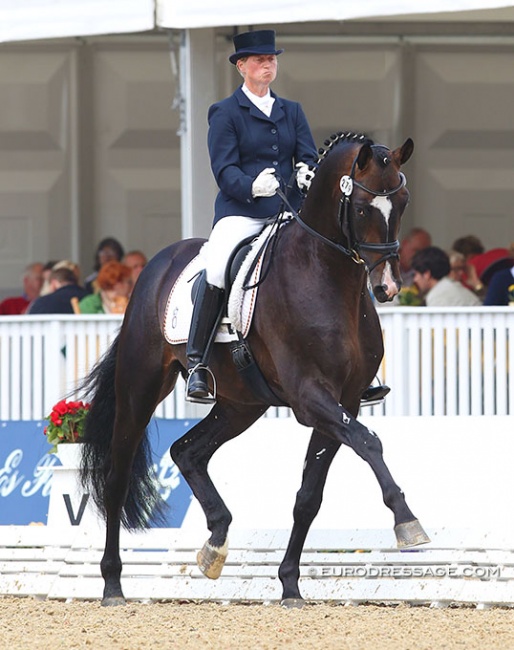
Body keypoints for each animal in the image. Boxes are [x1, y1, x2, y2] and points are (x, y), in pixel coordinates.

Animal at [79, 132, 428, 608]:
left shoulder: (346, 399)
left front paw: (290, 584)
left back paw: (215, 543)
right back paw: (113, 585)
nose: (388, 287)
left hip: (240, 404)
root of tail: (157, 265)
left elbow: (309, 495)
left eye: (404, 202)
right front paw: (407, 520)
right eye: (360, 208)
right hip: (140, 386)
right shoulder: (310, 397)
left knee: (187, 451)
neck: (327, 276)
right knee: (116, 477)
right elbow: (369, 442)